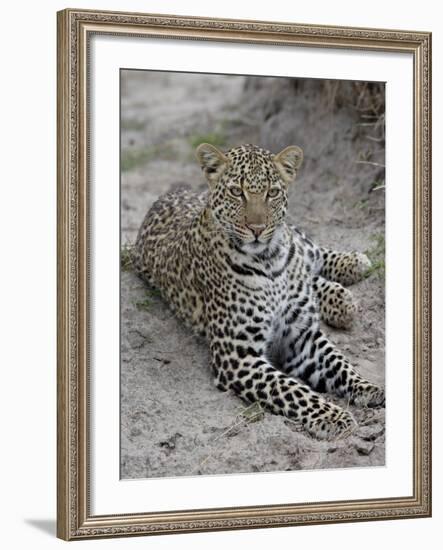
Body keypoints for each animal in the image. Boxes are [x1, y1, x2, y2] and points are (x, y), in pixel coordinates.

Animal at [132, 144, 386, 442]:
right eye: (236, 192)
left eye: (272, 193)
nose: (257, 229)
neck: (269, 261)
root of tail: (168, 194)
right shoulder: (238, 357)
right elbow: (291, 389)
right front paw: (334, 416)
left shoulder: (303, 336)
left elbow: (340, 364)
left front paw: (369, 388)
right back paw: (341, 298)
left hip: (296, 239)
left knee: (309, 253)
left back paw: (352, 268)